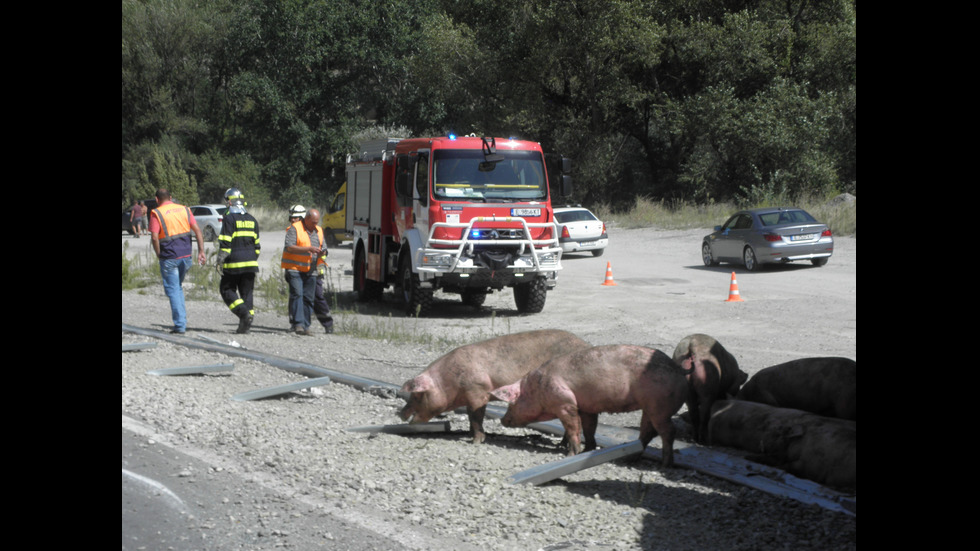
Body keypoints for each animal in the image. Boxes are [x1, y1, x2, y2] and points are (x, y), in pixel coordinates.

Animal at [398, 332, 588, 444]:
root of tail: (585, 344)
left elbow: (476, 416)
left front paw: (475, 441)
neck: (449, 381)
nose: (399, 413)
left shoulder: (478, 391)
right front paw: (469, 435)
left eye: (416, 396)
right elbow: (470, 417)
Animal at [490, 344, 688, 466]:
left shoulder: (565, 402)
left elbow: (572, 428)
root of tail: (680, 371)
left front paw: (570, 454)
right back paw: (630, 459)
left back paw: (665, 464)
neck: (536, 388)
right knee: (647, 432)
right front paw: (589, 449)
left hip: (659, 405)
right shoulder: (587, 407)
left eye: (511, 404)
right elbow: (589, 428)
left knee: (667, 431)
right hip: (650, 407)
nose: (502, 420)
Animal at [708, 402, 852, 492]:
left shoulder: (811, 464)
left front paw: (749, 457)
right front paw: (748, 457)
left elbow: (785, 465)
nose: (761, 443)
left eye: (778, 433)